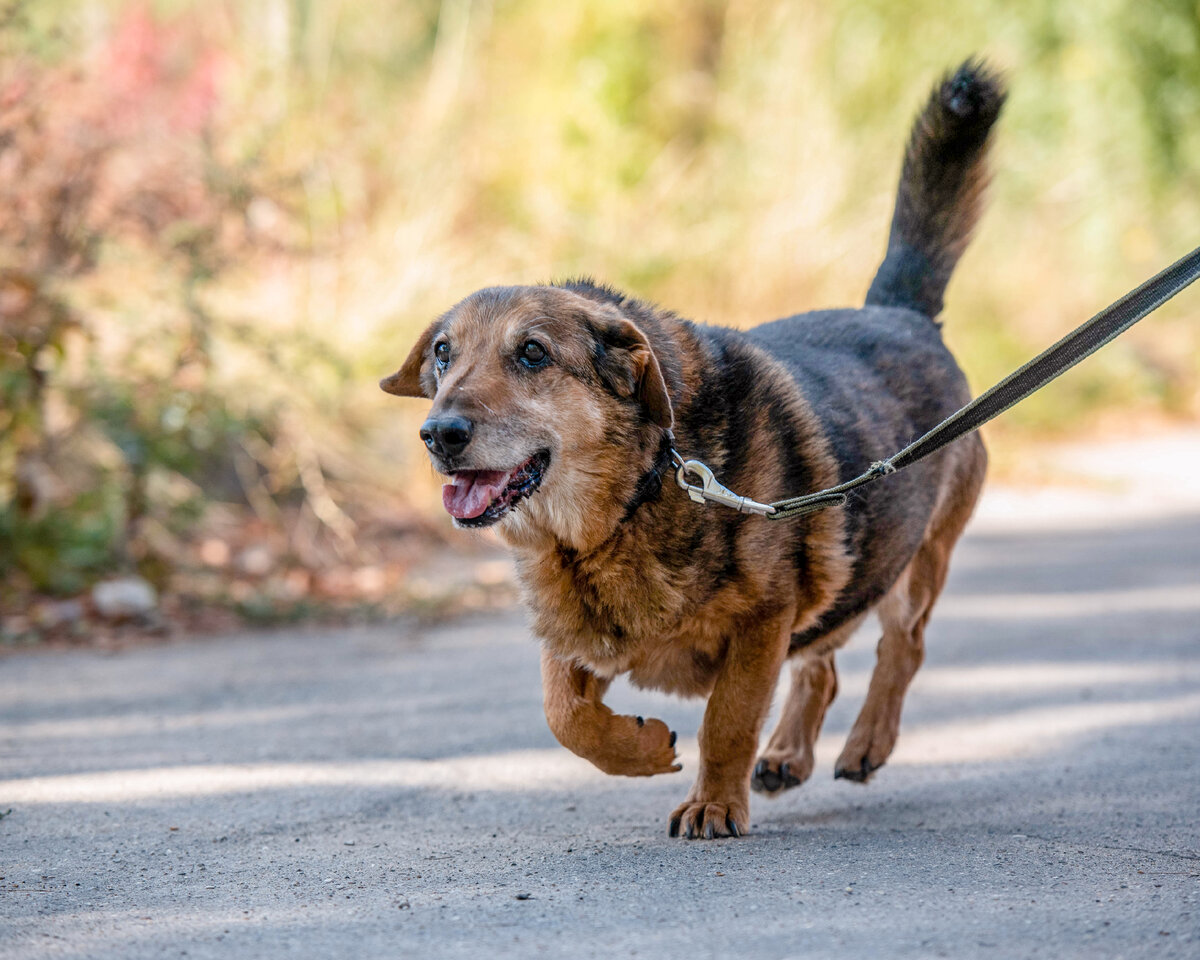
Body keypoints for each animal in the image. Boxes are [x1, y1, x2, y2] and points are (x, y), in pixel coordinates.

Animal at [381, 61, 1003, 840]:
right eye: (443, 353)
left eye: (532, 354)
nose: (439, 435)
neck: (634, 497)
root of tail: (902, 312)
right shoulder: (579, 633)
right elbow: (564, 715)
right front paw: (641, 749)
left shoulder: (762, 623)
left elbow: (727, 720)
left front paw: (713, 803)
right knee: (823, 666)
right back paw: (787, 755)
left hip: (915, 563)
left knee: (902, 647)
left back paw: (866, 742)